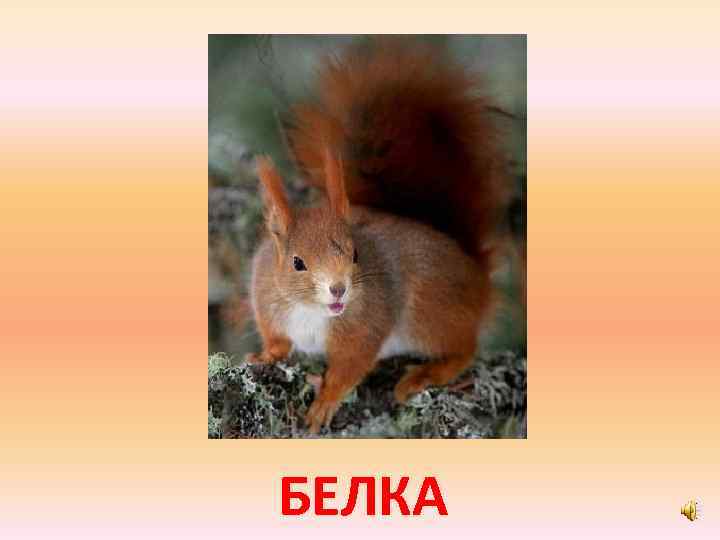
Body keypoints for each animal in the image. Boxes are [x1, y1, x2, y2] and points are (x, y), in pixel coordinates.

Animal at [246, 37, 511, 433]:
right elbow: (277, 341)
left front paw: (325, 401)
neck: (312, 312)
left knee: (464, 349)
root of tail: (477, 273)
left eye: (355, 254)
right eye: (297, 263)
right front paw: (264, 355)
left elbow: (349, 368)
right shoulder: (267, 303)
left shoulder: (365, 328)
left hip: (430, 315)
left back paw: (425, 375)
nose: (339, 288)